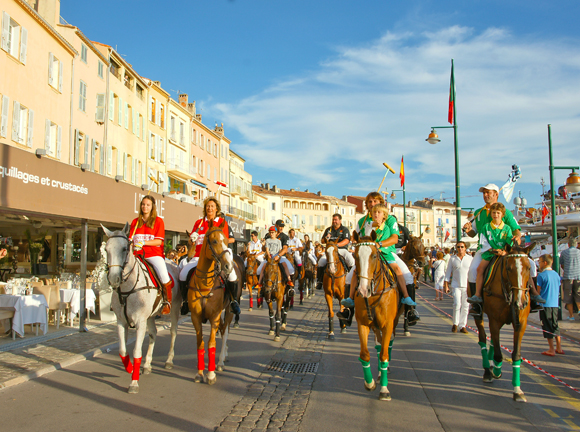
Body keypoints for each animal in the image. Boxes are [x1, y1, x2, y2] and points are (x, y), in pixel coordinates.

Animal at [101, 224, 180, 394]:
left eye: (125, 248)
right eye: (106, 249)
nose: (113, 279)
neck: (127, 289)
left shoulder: (140, 322)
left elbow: (137, 351)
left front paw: (133, 383)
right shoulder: (121, 322)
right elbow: (122, 350)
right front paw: (130, 368)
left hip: (174, 309)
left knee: (173, 332)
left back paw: (169, 360)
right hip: (150, 315)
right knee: (153, 334)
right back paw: (147, 364)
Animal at [184, 219, 233, 384]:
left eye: (227, 241)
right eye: (214, 241)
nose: (228, 266)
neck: (205, 286)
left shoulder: (214, 317)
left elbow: (212, 343)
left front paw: (211, 374)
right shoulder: (196, 317)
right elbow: (200, 343)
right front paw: (200, 373)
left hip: (229, 310)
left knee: (225, 331)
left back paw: (221, 360)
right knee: (223, 329)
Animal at [354, 231, 404, 400]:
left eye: (374, 256)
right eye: (355, 255)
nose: (363, 290)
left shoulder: (388, 324)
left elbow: (384, 355)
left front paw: (384, 389)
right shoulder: (362, 323)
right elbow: (365, 354)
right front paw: (369, 383)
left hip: (394, 322)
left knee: (387, 344)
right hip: (375, 326)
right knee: (378, 344)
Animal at [472, 243, 536, 402]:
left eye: (528, 268)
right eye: (509, 268)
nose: (520, 302)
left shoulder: (521, 323)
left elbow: (516, 355)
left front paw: (517, 390)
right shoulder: (494, 320)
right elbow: (499, 354)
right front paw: (496, 370)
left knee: (493, 341)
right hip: (479, 315)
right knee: (483, 338)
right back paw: (488, 371)